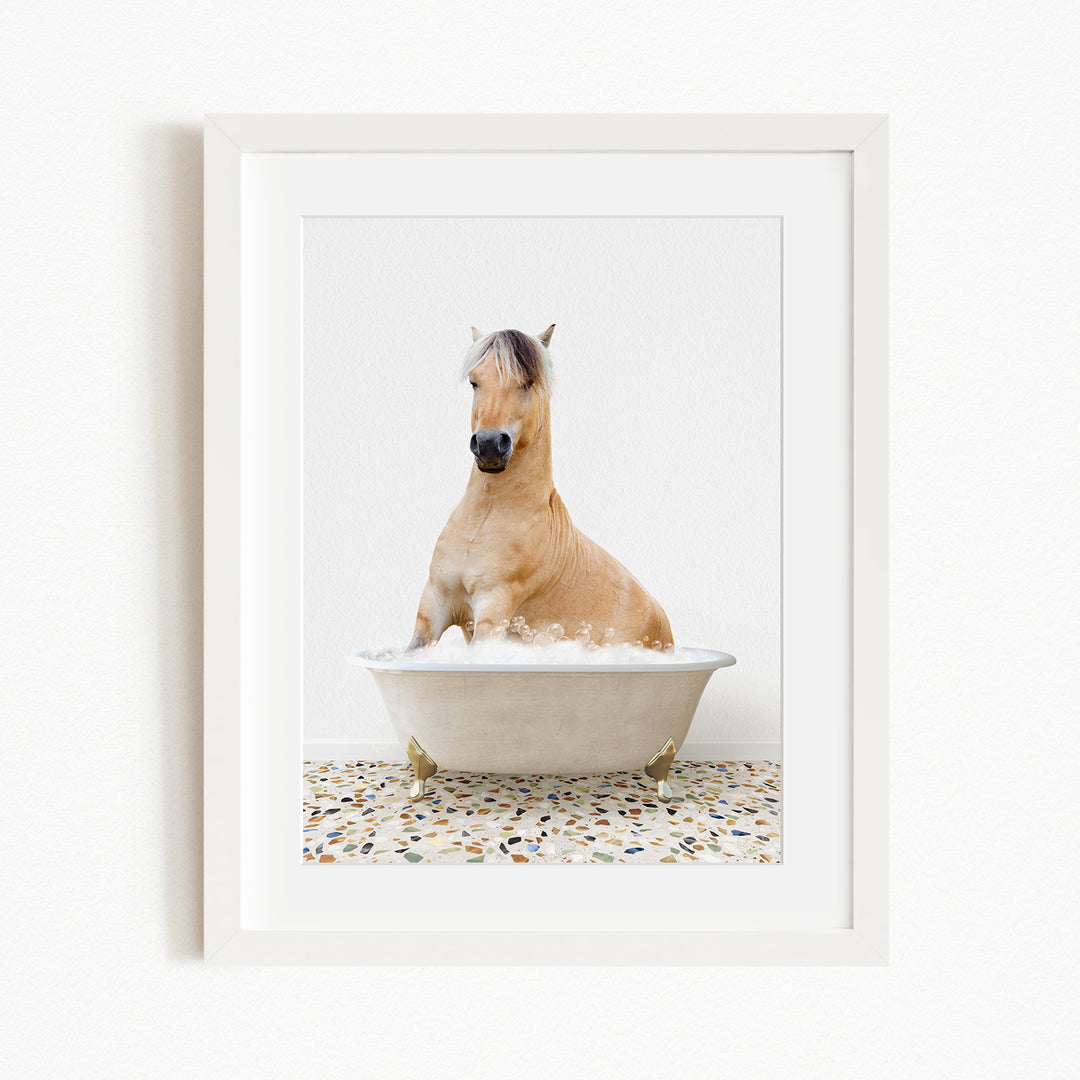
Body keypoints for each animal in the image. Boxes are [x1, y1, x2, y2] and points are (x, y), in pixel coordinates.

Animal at [407, 325, 673, 651]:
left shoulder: (493, 609)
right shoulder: (434, 604)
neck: (483, 520)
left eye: (527, 382)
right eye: (474, 382)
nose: (489, 445)